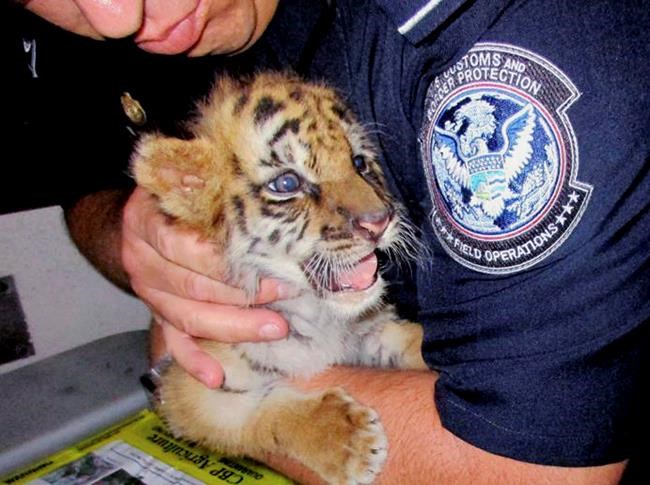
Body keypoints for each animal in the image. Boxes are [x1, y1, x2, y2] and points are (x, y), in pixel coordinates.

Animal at [132, 72, 428, 485]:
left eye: (358, 163)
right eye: (287, 184)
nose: (379, 221)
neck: (315, 314)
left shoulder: (368, 331)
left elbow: (410, 340)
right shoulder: (194, 388)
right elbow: (261, 414)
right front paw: (348, 440)